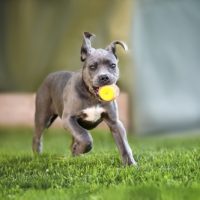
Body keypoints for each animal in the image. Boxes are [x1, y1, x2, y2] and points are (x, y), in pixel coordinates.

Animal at [32, 31, 137, 166]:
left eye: (113, 65)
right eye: (92, 67)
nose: (104, 77)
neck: (92, 96)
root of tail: (48, 76)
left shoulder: (115, 122)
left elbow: (124, 145)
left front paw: (130, 164)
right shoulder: (69, 119)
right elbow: (85, 136)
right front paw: (80, 149)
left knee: (73, 140)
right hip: (43, 117)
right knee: (37, 136)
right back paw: (37, 156)